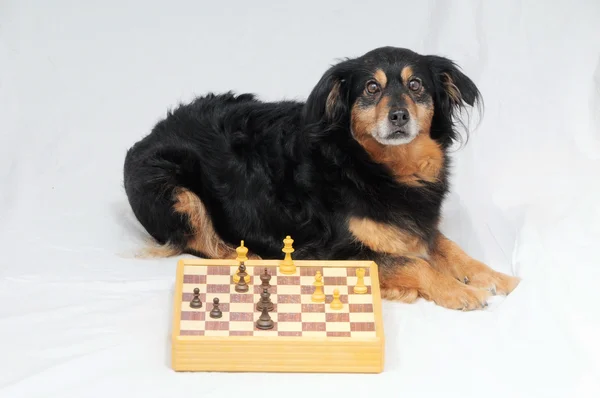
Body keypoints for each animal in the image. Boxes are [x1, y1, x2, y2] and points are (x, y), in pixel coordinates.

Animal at [123, 45, 520, 310]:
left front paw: (493, 276)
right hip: (176, 193)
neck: (369, 166)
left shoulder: (417, 224)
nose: (399, 116)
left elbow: (448, 247)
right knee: (206, 245)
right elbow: (415, 263)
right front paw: (458, 291)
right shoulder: (333, 250)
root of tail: (149, 134)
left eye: (416, 85)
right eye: (371, 88)